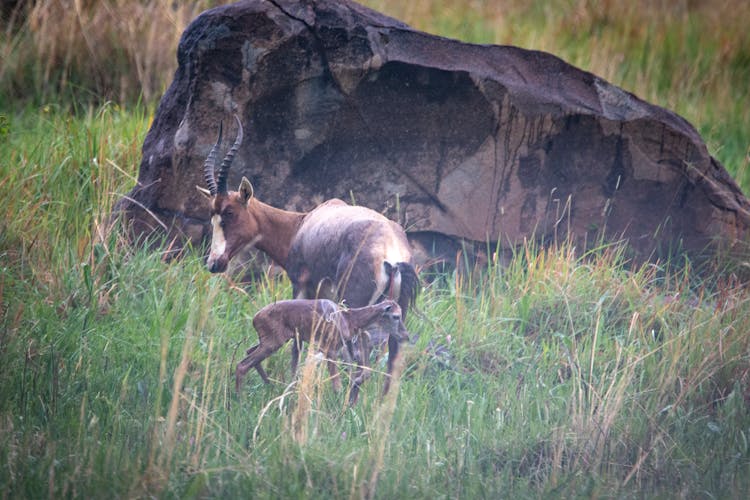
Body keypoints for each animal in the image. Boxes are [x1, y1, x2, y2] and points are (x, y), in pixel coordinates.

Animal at [236, 296, 408, 402]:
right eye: (396, 316)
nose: (405, 336)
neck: (348, 320)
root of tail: (255, 318)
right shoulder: (329, 348)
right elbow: (337, 385)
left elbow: (361, 374)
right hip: (273, 340)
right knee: (242, 365)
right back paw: (241, 399)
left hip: (270, 339)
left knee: (248, 352)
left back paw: (272, 387)